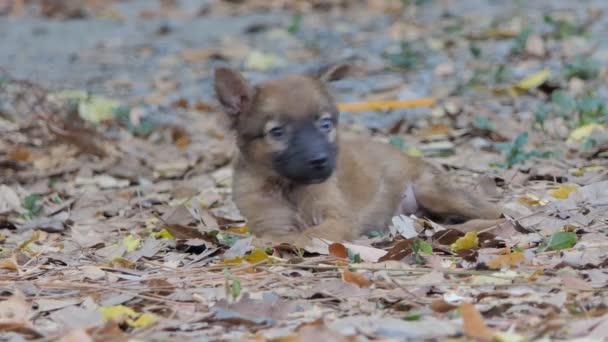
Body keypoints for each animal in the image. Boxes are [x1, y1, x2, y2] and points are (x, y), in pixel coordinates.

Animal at [215, 65, 504, 244]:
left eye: (325, 124)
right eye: (277, 132)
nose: (320, 161)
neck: (288, 187)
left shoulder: (337, 218)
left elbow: (307, 235)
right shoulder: (272, 223)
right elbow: (281, 235)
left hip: (433, 191)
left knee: (497, 212)